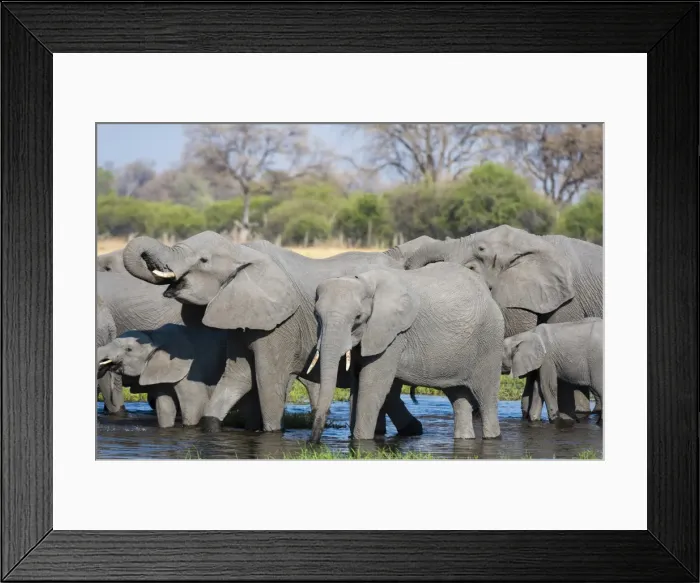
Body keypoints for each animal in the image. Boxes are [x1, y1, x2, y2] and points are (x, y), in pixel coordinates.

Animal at [121, 232, 426, 436]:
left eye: (203, 260)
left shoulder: (282, 323)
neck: (241, 252)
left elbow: (268, 380)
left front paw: (270, 433)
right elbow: (238, 376)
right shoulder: (241, 314)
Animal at [312, 263, 505, 441]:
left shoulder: (393, 335)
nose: (314, 441)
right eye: (316, 315)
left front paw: (362, 441)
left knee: (486, 396)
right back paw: (464, 438)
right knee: (458, 396)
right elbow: (357, 383)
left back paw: (492, 437)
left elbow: (372, 386)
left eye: (358, 317)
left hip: (490, 340)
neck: (365, 281)